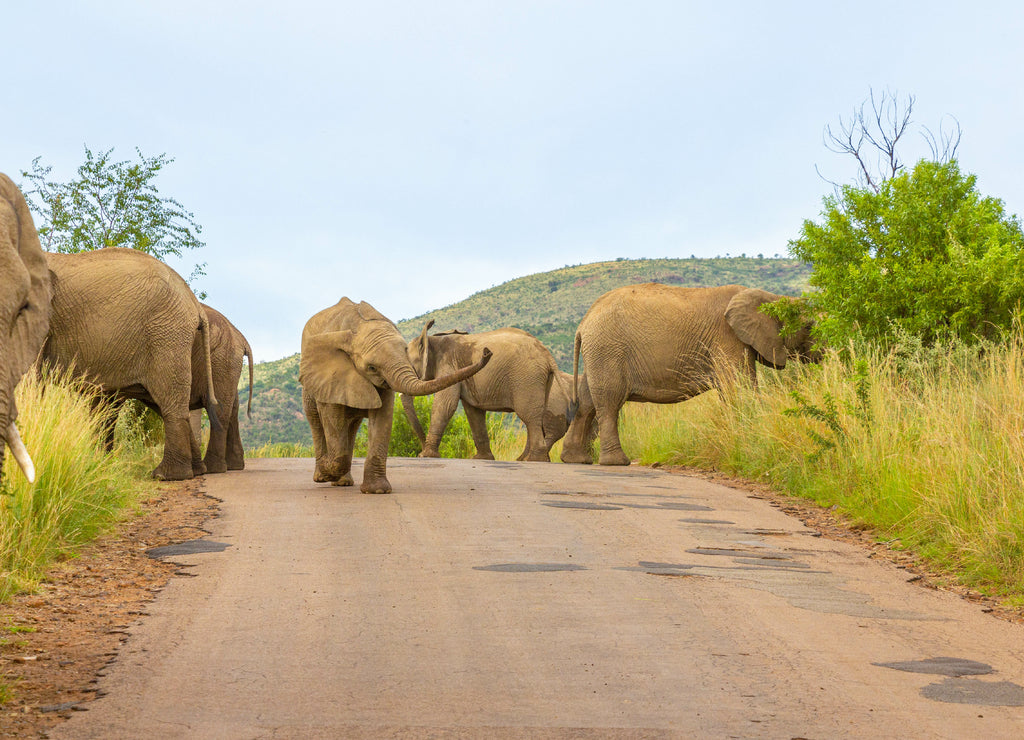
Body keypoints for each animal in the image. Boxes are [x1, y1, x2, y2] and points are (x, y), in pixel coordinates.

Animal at [188, 304, 254, 474]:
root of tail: (242, 339)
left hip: (221, 360)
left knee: (219, 408)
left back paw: (214, 469)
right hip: (227, 362)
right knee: (232, 407)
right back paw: (234, 467)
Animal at [299, 298, 492, 493]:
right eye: (371, 367)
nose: (487, 352)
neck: (358, 326)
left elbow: (382, 417)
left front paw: (377, 491)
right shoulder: (332, 377)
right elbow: (333, 417)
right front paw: (327, 469)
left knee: (351, 425)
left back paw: (342, 481)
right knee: (316, 419)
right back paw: (323, 477)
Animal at [401, 323, 572, 462]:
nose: (420, 451)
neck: (432, 339)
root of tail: (547, 354)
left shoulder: (448, 365)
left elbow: (445, 405)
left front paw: (426, 456)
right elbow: (473, 412)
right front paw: (482, 458)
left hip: (528, 376)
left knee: (529, 416)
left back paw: (533, 460)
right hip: (542, 380)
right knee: (535, 416)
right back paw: (524, 459)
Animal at [560, 283, 819, 466]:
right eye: (809, 326)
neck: (771, 297)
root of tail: (583, 322)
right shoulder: (729, 339)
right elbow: (739, 387)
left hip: (599, 354)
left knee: (587, 403)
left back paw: (576, 460)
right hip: (608, 350)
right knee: (609, 403)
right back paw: (616, 462)